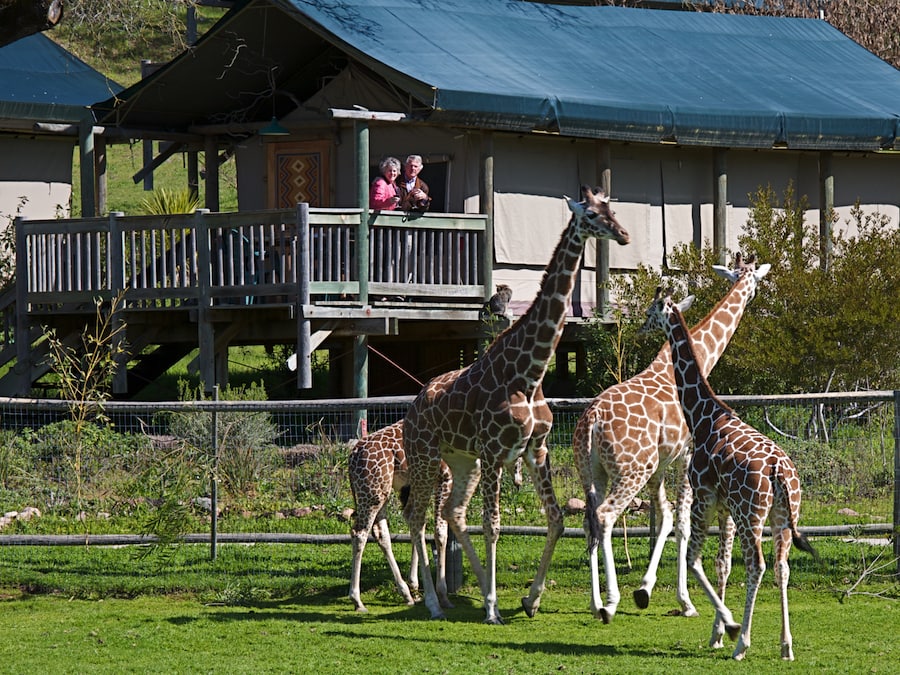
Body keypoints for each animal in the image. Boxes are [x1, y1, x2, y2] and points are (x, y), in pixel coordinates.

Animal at [348, 426, 454, 616]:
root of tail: (352, 456)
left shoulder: (412, 485)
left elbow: (416, 525)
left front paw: (415, 586)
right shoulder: (446, 476)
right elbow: (440, 532)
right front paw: (442, 595)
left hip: (380, 491)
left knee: (380, 534)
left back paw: (406, 593)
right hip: (372, 493)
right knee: (359, 533)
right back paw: (357, 601)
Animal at [404, 184, 628, 624]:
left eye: (613, 209)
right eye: (592, 215)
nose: (624, 235)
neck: (530, 373)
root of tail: (412, 409)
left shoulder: (535, 450)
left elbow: (556, 520)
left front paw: (530, 599)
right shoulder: (495, 452)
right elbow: (493, 525)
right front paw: (493, 608)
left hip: (462, 461)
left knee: (451, 513)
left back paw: (466, 591)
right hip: (426, 457)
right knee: (419, 517)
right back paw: (435, 603)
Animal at [572, 252, 768, 624]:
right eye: (752, 280)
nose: (640, 327)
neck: (702, 359)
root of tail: (591, 421)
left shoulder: (662, 464)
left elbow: (663, 518)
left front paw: (646, 589)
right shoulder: (686, 456)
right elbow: (682, 522)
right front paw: (685, 601)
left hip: (592, 472)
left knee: (589, 521)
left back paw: (594, 602)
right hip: (630, 470)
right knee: (606, 517)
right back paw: (612, 601)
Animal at [644, 288, 820, 664]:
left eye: (652, 311)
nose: (640, 326)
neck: (702, 414)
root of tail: (779, 471)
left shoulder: (705, 497)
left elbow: (694, 559)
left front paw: (729, 626)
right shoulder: (725, 507)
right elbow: (721, 564)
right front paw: (717, 633)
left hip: (751, 514)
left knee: (757, 566)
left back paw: (744, 644)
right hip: (782, 516)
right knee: (781, 567)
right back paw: (786, 646)